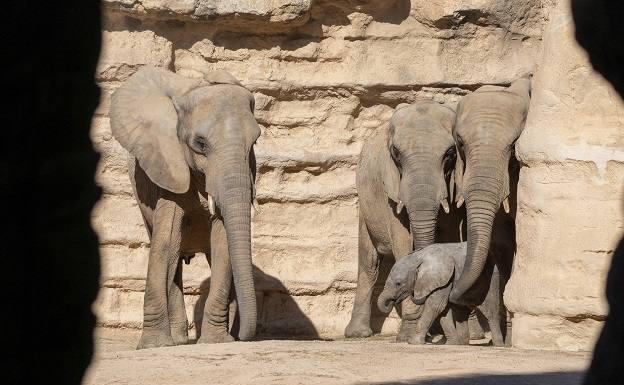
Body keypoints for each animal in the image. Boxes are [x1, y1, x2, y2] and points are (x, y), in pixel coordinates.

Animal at [109, 66, 260, 348]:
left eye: (255, 142)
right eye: (200, 143)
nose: (245, 337)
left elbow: (223, 240)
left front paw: (216, 342)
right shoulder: (168, 166)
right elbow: (165, 243)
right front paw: (154, 346)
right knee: (172, 254)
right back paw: (178, 340)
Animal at [342, 101, 464, 340]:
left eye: (450, 153)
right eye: (396, 154)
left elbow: (450, 235)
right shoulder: (390, 190)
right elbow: (403, 242)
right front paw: (408, 335)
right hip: (366, 204)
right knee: (369, 262)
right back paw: (358, 334)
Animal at [376, 240, 508, 344]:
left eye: (398, 283)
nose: (392, 302)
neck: (418, 258)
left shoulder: (443, 278)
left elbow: (436, 306)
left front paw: (412, 342)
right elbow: (443, 310)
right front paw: (451, 344)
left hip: (491, 279)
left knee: (490, 312)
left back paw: (497, 345)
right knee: (461, 312)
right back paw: (462, 343)